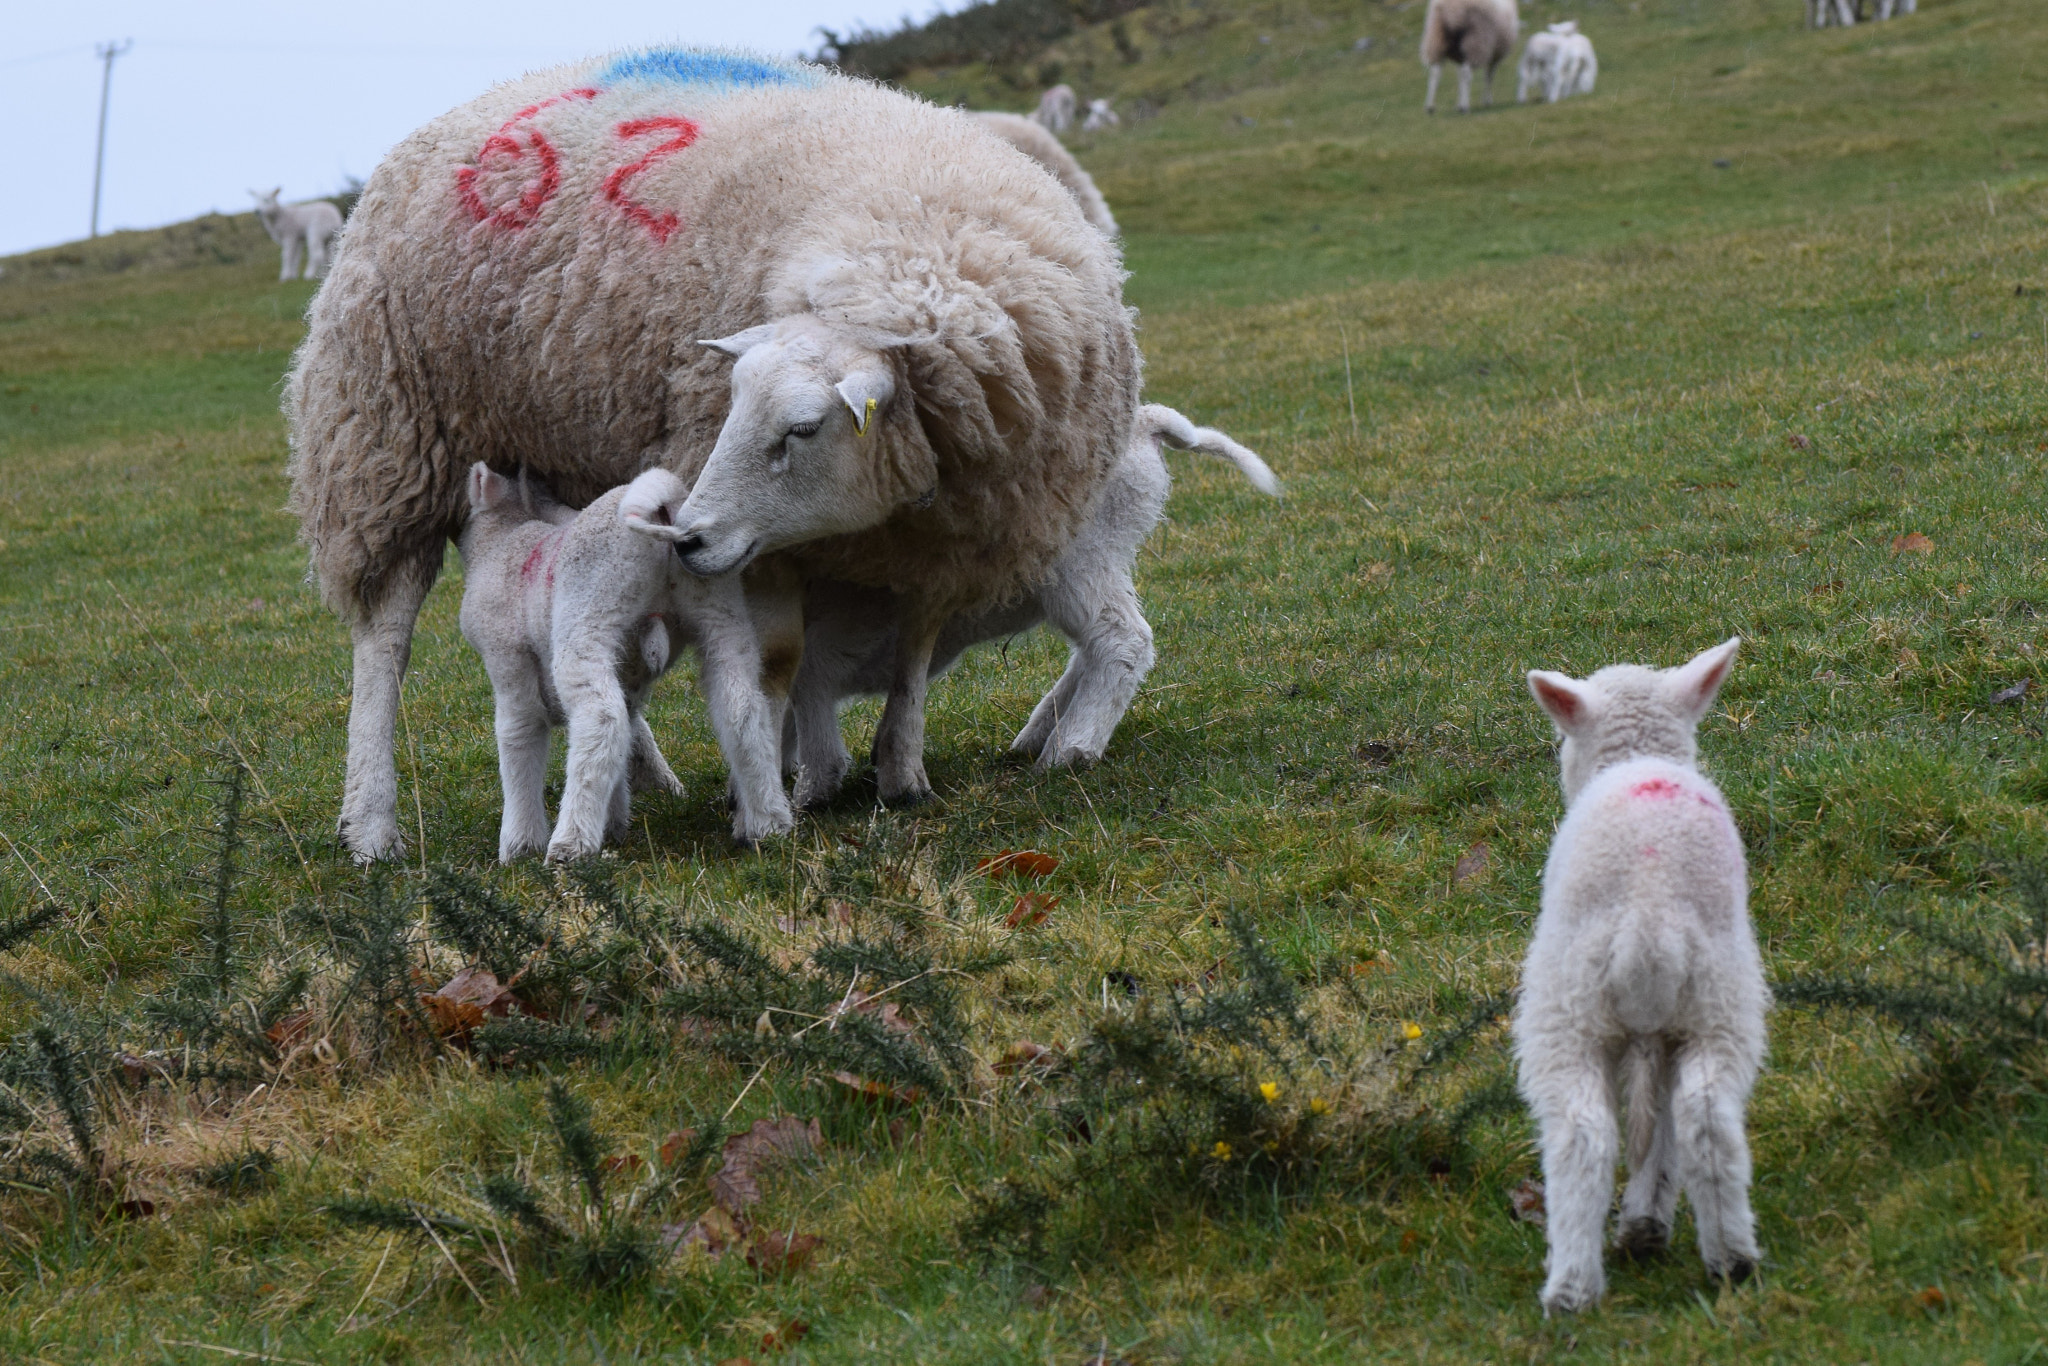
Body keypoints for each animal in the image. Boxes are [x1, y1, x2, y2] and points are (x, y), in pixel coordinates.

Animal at [456, 463, 799, 859]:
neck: (503, 541)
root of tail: (662, 499)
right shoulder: (629, 675)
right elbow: (627, 736)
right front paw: (614, 822)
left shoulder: (506, 656)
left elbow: (518, 736)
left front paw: (519, 845)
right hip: (718, 607)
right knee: (741, 709)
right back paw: (769, 823)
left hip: (590, 615)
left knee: (601, 720)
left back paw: (570, 844)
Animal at [782, 403, 1277, 807]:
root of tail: (1147, 421)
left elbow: (805, 689)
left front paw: (813, 790)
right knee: (1094, 647)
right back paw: (1038, 736)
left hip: (1080, 557)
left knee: (1122, 639)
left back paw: (1068, 751)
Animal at [1517, 638, 1765, 1315]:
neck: (1638, 758)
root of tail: (1649, 926)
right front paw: (1647, 1220)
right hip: (1717, 1001)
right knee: (1705, 1114)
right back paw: (1729, 1257)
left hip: (1566, 1005)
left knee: (1583, 1134)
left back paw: (1570, 1287)